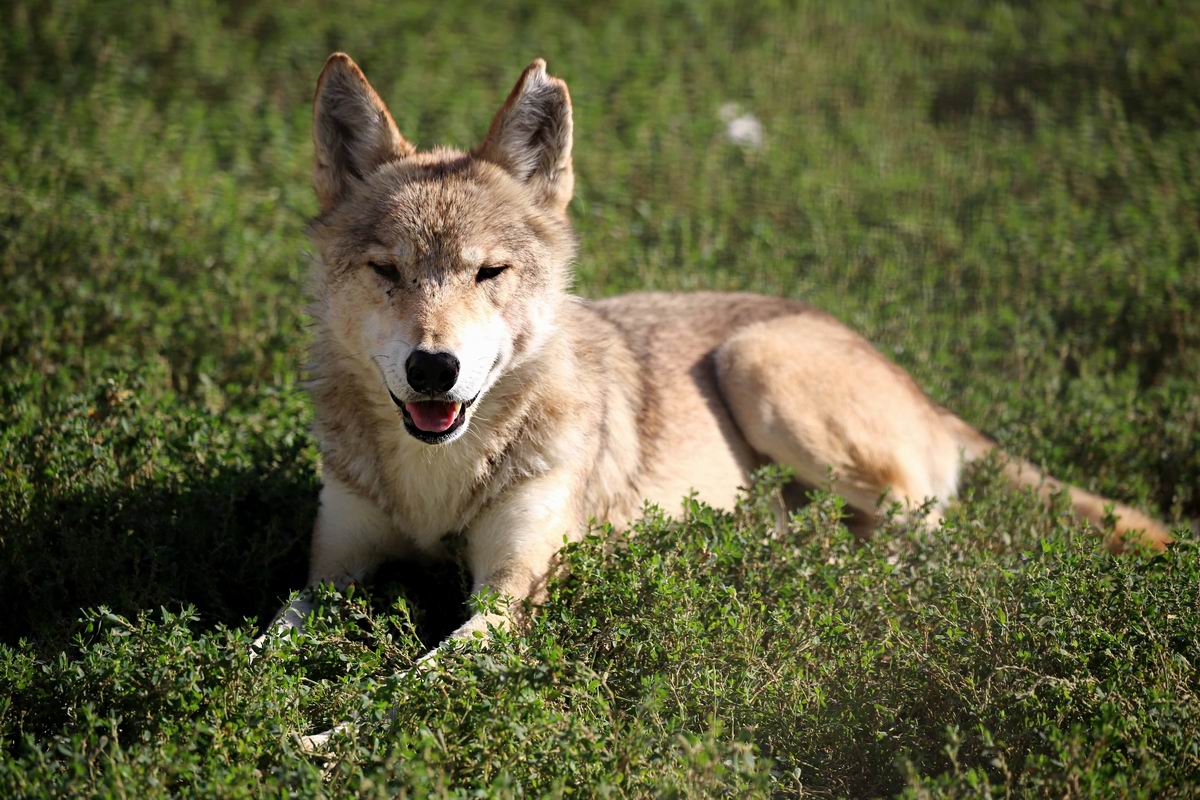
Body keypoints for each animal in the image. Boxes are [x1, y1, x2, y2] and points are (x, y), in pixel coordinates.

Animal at [262, 51, 1171, 671]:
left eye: (489, 272)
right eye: (387, 271)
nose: (433, 370)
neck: (437, 483)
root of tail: (918, 387)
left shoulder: (509, 599)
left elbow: (406, 690)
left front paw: (318, 744)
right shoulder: (330, 573)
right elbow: (262, 645)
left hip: (758, 366)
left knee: (930, 540)